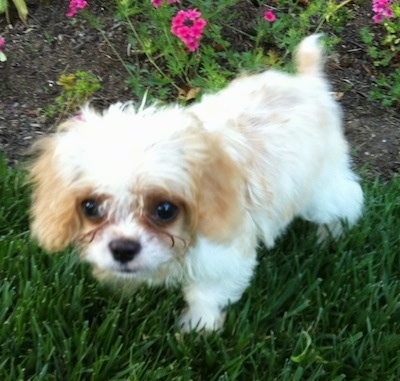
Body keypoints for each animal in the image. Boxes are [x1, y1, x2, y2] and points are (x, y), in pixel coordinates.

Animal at [28, 36, 362, 332]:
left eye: (164, 210)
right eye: (90, 207)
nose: (123, 249)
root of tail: (309, 82)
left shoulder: (222, 259)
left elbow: (205, 294)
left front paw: (198, 327)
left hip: (321, 189)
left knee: (348, 198)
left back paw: (330, 233)